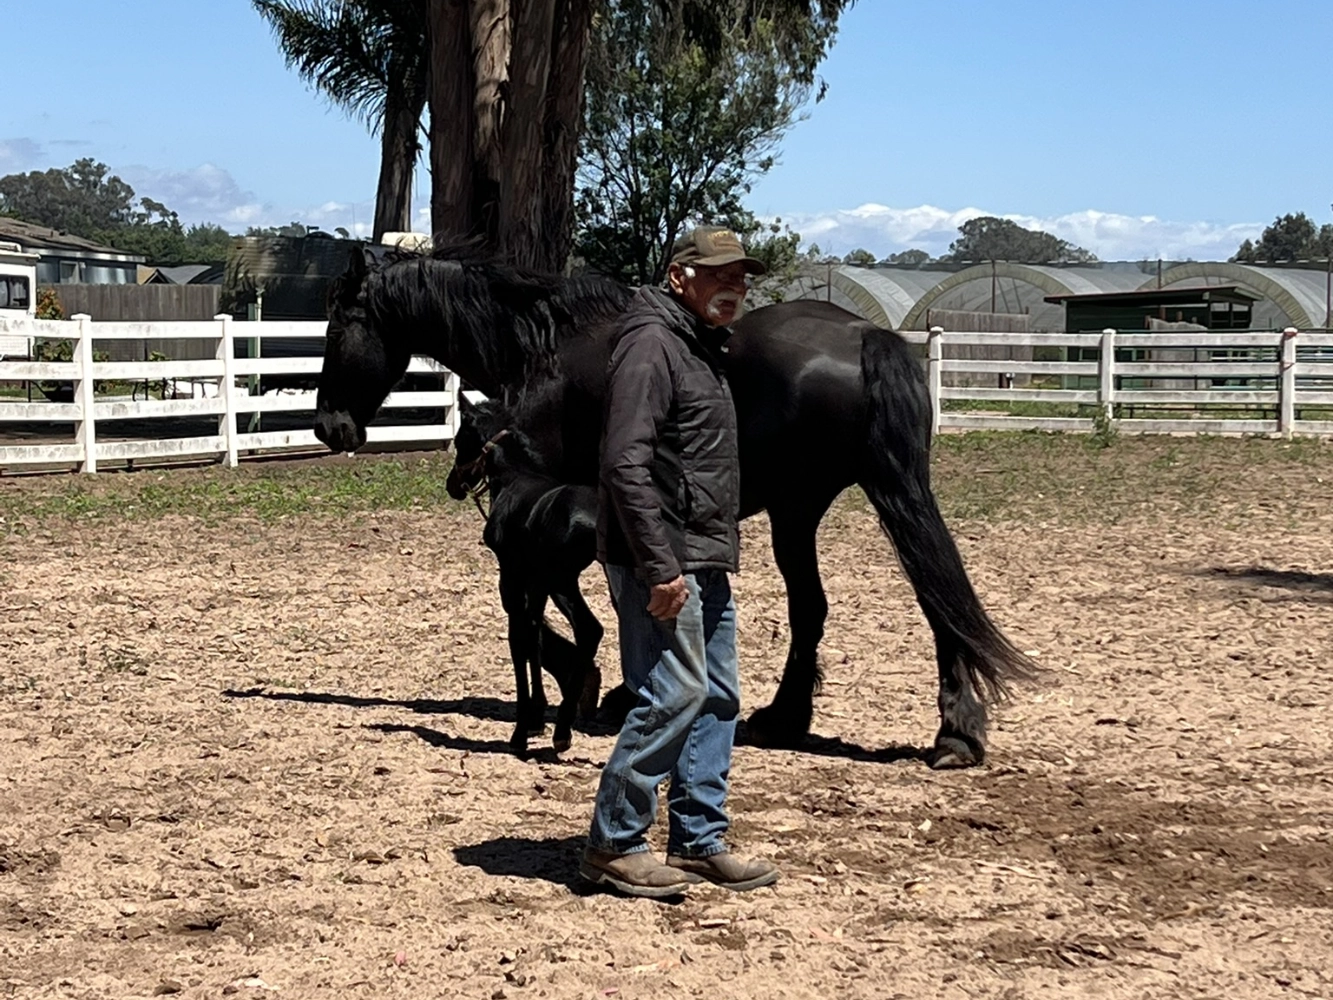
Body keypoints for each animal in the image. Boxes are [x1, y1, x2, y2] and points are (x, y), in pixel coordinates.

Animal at [444, 388, 604, 755]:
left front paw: (521, 730)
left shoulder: (512, 574)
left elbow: (520, 638)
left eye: (461, 439)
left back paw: (563, 731)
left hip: (562, 580)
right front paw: (534, 718)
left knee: (589, 629)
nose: (452, 485)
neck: (514, 478)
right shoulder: (535, 580)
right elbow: (535, 635)